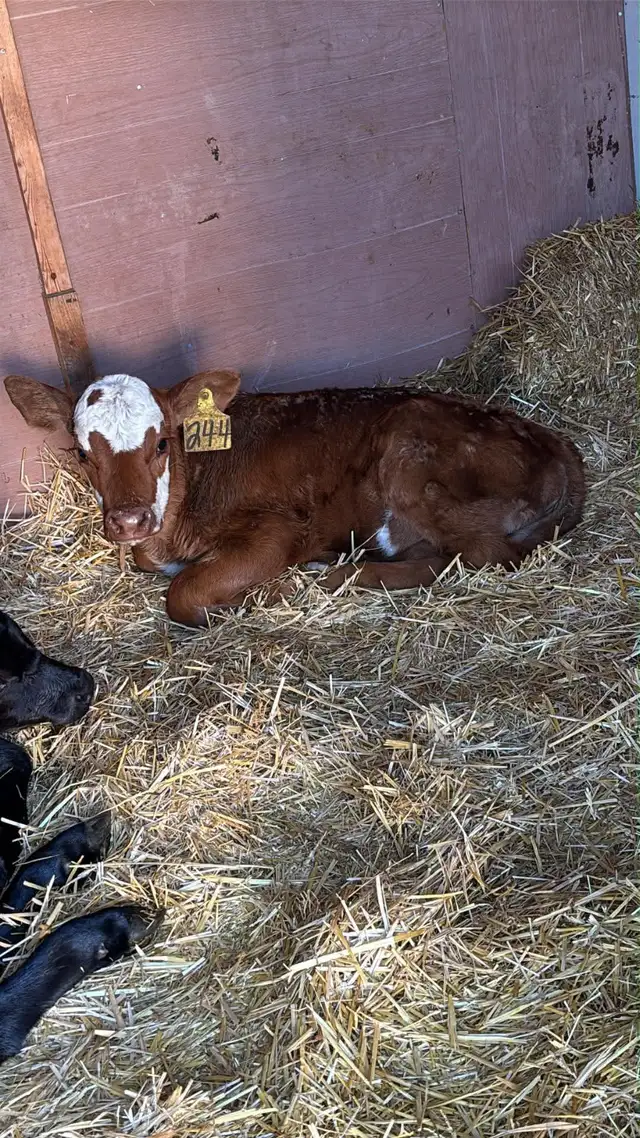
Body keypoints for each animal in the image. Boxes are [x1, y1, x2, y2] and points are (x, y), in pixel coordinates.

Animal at [4, 370, 586, 627]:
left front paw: (267, 593)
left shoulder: (278, 529)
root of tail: (560, 446)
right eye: (83, 453)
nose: (128, 520)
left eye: (162, 442)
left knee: (484, 556)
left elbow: (185, 594)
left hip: (411, 454)